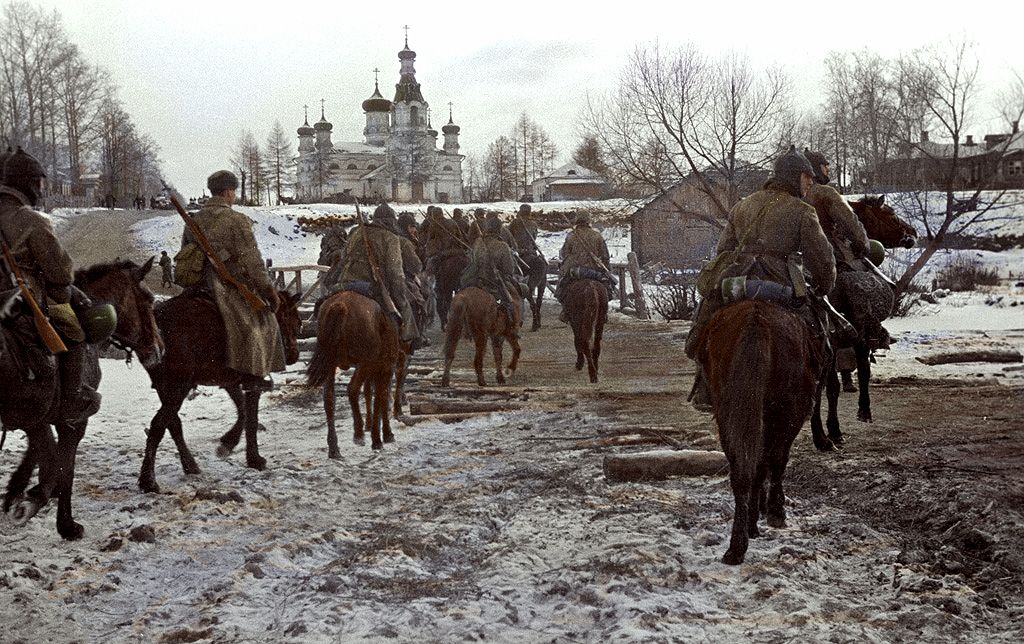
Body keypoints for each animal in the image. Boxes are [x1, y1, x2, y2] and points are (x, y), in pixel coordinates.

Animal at [2, 259, 161, 540]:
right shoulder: (73, 420)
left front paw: (22, 492)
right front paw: (65, 524)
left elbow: (42, 450)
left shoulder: (38, 415)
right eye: (149, 299)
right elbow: (64, 468)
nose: (158, 349)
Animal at [136, 288, 299, 489]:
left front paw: (228, 443)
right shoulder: (253, 381)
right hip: (178, 386)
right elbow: (251, 418)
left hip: (164, 387)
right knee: (158, 425)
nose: (293, 355)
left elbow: (243, 411)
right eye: (296, 322)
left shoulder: (230, 381)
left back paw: (189, 466)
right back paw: (148, 480)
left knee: (172, 424)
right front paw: (254, 459)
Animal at [303, 288, 399, 454]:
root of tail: (340, 305)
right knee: (353, 389)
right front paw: (382, 436)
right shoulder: (384, 367)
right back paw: (359, 434)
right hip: (365, 363)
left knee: (329, 398)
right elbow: (380, 396)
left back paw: (334, 447)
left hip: (331, 364)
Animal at [692, 301, 827, 561]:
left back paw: (737, 543)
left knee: (741, 468)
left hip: (729, 411)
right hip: (786, 410)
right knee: (771, 460)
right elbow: (774, 461)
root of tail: (755, 319)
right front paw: (774, 510)